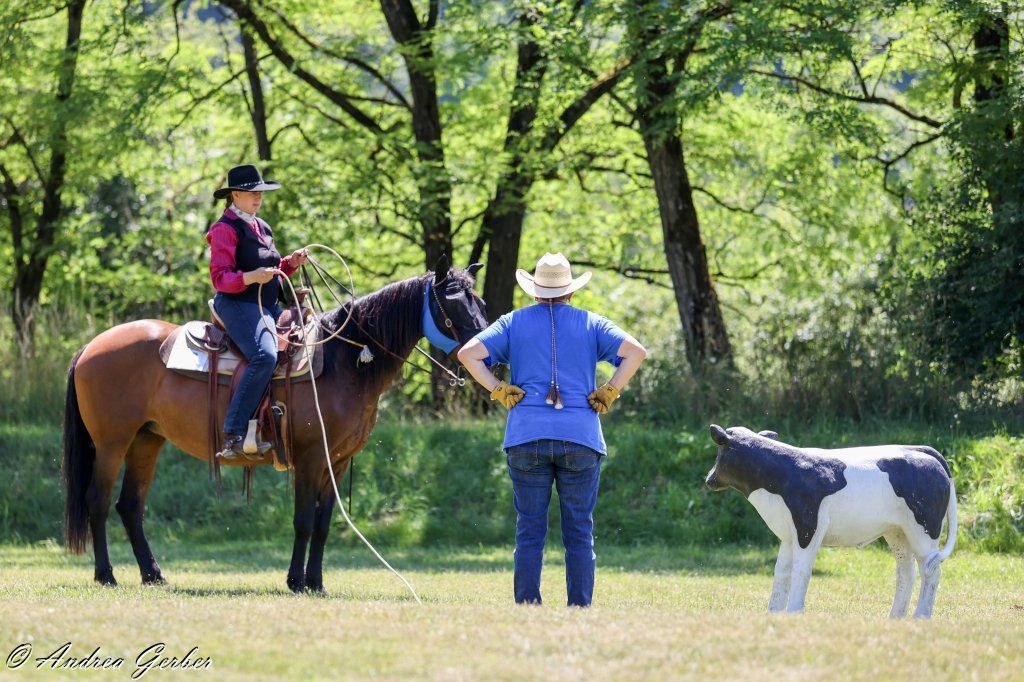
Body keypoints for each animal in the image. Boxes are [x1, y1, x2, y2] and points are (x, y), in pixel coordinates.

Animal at [62, 257, 488, 592]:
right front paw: (297, 581)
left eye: (479, 301)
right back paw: (106, 575)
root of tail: (91, 346)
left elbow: (323, 522)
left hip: (146, 441)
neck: (343, 359)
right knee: (98, 501)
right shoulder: (312, 457)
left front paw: (316, 581)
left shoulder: (338, 460)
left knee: (130, 505)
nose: (483, 347)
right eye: (453, 304)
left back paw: (153, 575)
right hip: (111, 444)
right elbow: (303, 521)